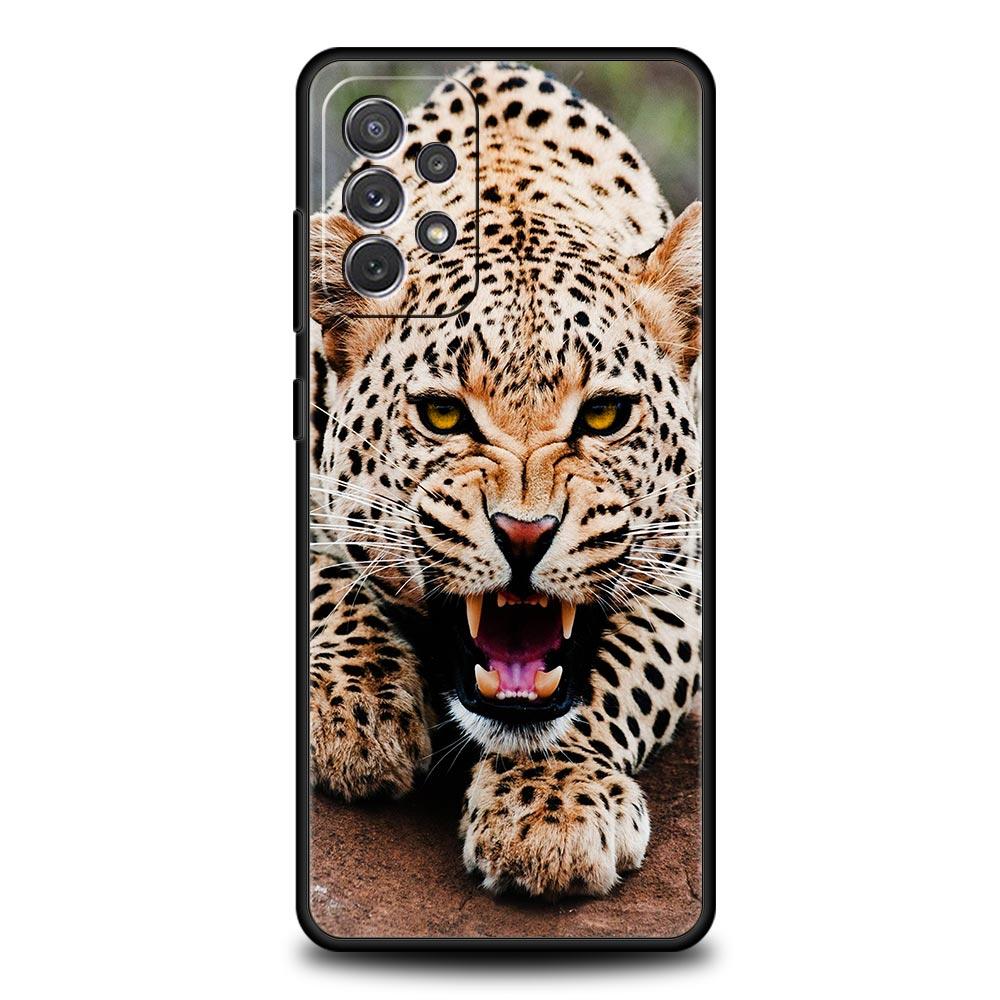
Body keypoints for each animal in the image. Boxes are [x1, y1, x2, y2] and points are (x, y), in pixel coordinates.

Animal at [308, 61, 703, 898]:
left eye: (605, 415)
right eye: (443, 416)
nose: (525, 534)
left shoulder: (685, 569)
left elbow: (616, 675)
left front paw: (551, 806)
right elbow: (324, 580)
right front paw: (360, 709)